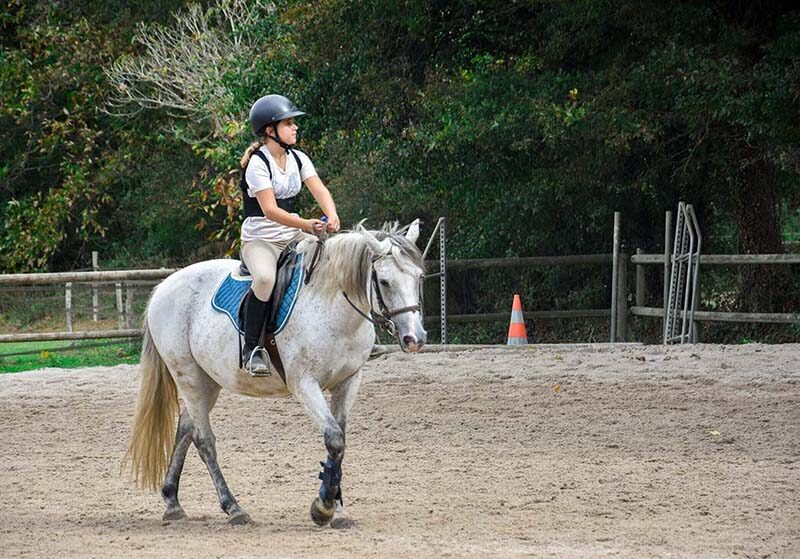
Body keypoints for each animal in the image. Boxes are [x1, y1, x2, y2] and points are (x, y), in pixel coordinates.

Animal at [124, 221, 424, 528]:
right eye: (384, 282)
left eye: (419, 277)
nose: (415, 338)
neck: (332, 308)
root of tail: (164, 286)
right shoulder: (304, 384)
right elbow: (334, 438)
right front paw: (323, 508)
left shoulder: (348, 381)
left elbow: (340, 442)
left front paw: (338, 511)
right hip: (189, 376)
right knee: (203, 439)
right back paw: (233, 508)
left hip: (208, 382)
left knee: (185, 428)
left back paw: (172, 501)